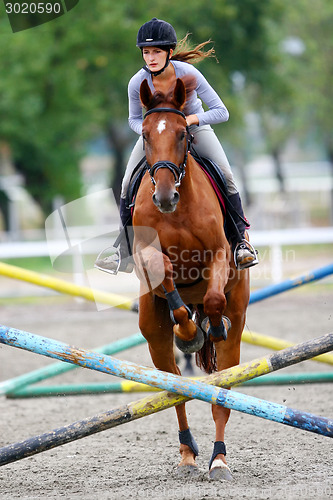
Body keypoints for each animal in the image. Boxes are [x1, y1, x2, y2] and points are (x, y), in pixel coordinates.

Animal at [131, 76, 248, 478]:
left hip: (238, 322)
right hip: (153, 335)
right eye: (145, 134)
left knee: (221, 393)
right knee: (176, 391)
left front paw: (207, 328)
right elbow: (165, 275)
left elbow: (213, 298)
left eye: (183, 133)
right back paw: (187, 455)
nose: (165, 196)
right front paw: (188, 333)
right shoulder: (148, 254)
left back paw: (219, 459)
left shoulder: (219, 254)